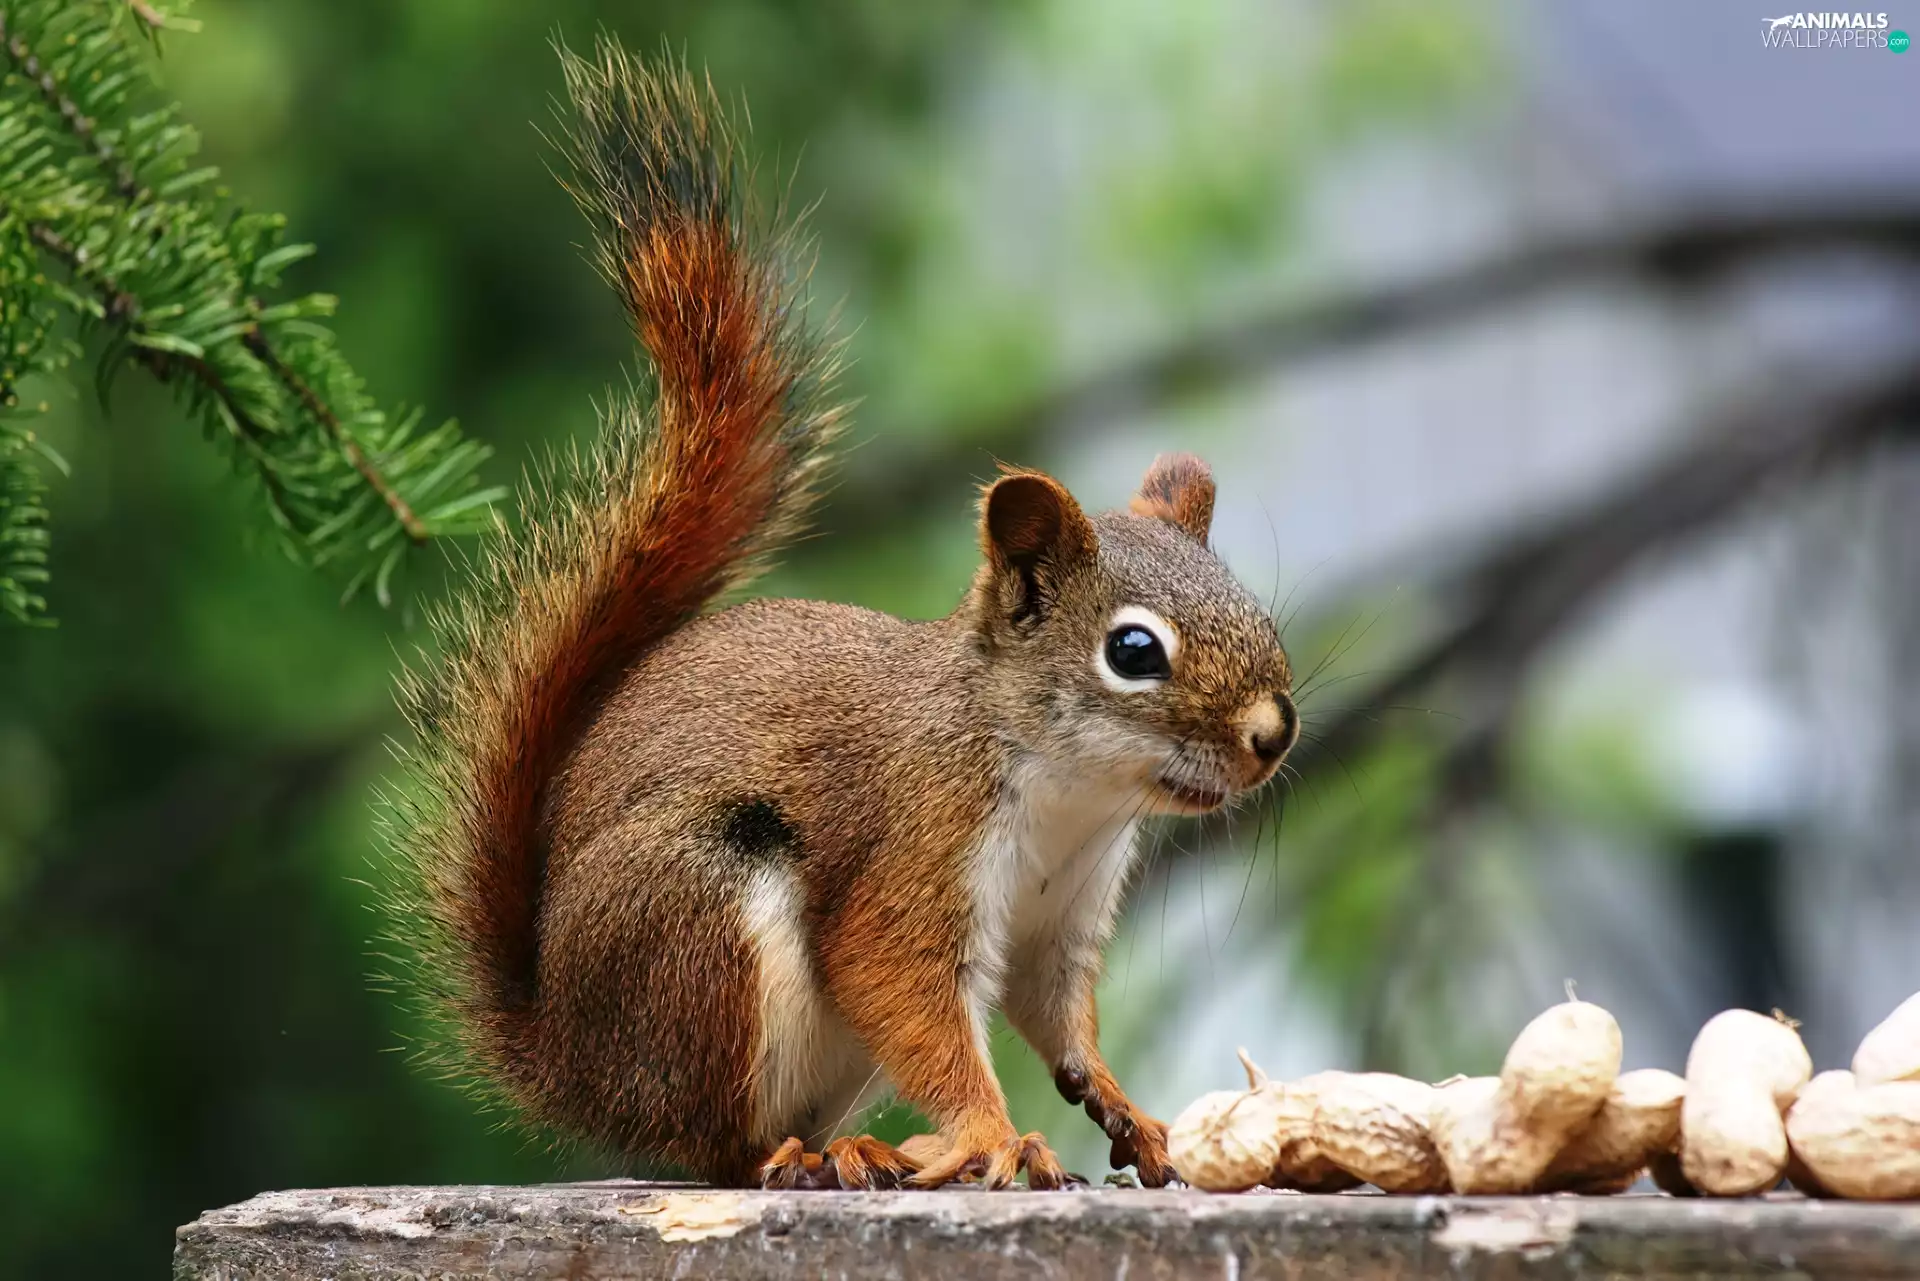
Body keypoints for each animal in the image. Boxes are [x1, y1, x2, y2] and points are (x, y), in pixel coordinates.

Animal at [382, 40, 1299, 1192]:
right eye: (1134, 650)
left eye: (1255, 609)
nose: (1275, 734)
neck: (1070, 793)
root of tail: (568, 1059)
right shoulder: (916, 844)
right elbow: (900, 980)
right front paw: (992, 1137)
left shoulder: (1062, 918)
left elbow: (1061, 1029)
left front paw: (1139, 1121)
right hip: (698, 922)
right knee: (717, 1148)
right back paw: (802, 1161)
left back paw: (859, 1148)